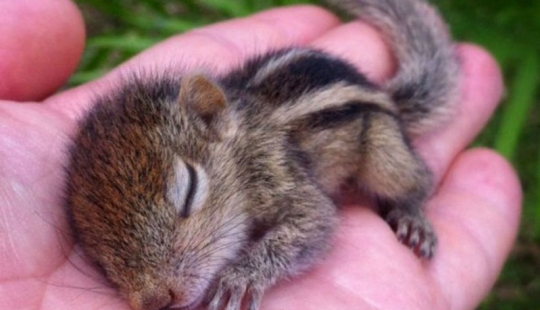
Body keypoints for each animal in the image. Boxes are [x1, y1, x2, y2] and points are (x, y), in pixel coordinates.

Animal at [65, 0, 458, 308]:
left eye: (189, 191)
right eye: (96, 253)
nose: (155, 300)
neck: (243, 145)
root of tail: (383, 93)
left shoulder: (279, 174)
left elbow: (314, 223)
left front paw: (239, 277)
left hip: (384, 152)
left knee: (416, 180)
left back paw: (412, 216)